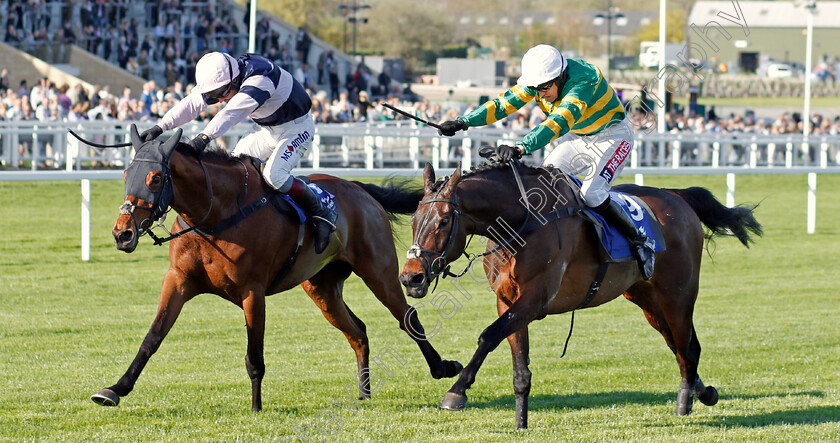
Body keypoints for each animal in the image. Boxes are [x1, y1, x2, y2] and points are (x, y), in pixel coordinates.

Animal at [88, 125, 462, 412]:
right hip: (322, 288)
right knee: (357, 331)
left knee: (407, 316)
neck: (215, 215)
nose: (122, 233)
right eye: (125, 174)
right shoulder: (179, 281)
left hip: (380, 271)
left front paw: (256, 407)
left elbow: (254, 356)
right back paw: (364, 392)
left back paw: (442, 367)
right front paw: (114, 389)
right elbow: (152, 338)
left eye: (154, 178)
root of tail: (360, 188)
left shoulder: (252, 291)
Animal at [400, 163, 760, 430]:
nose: (410, 276)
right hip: (645, 298)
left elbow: (488, 335)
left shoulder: (536, 298)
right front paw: (521, 422)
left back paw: (686, 401)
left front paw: (456, 392)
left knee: (687, 346)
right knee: (678, 345)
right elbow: (519, 366)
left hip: (678, 294)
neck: (522, 221)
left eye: (443, 220)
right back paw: (704, 392)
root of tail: (677, 195)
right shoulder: (508, 300)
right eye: (414, 219)